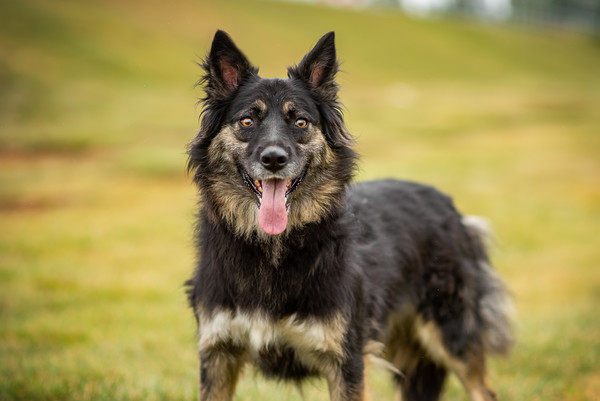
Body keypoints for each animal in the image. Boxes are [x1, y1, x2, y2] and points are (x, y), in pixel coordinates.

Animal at [186, 28, 510, 400]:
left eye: (300, 122)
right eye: (247, 121)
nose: (274, 160)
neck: (273, 250)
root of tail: (449, 205)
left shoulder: (347, 358)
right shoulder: (217, 352)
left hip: (452, 331)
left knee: (483, 389)